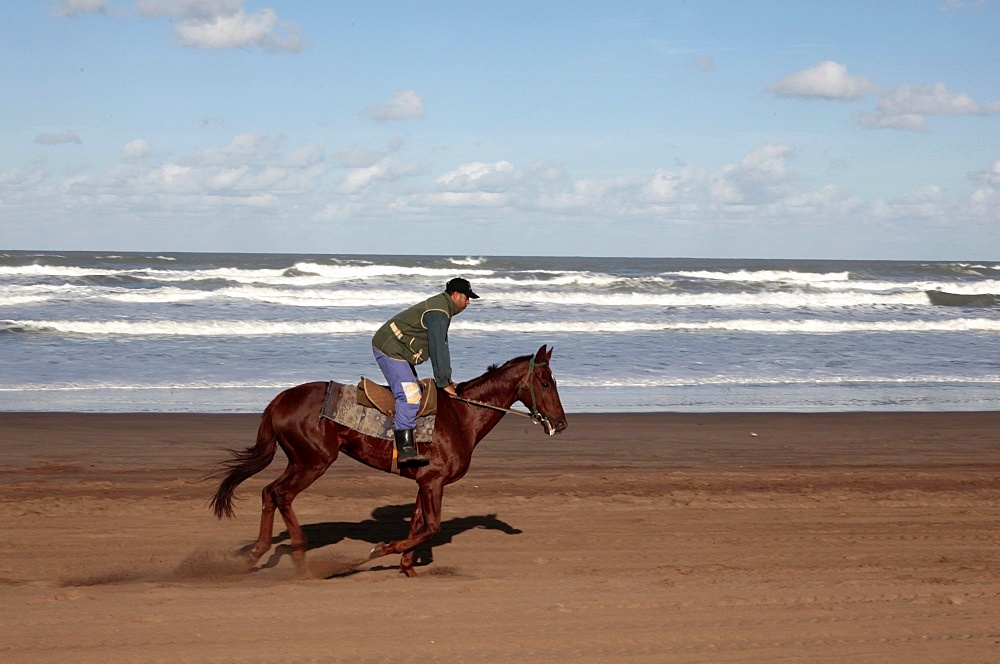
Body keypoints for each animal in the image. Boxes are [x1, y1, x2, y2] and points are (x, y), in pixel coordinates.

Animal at [207, 344, 568, 580]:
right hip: (314, 461)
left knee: (269, 492)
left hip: (298, 460)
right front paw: (380, 551)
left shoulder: (425, 481)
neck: (462, 415)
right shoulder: (434, 481)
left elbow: (418, 523)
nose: (561, 423)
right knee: (282, 495)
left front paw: (407, 565)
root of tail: (280, 399)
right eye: (546, 382)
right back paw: (298, 555)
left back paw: (256, 553)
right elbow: (431, 527)